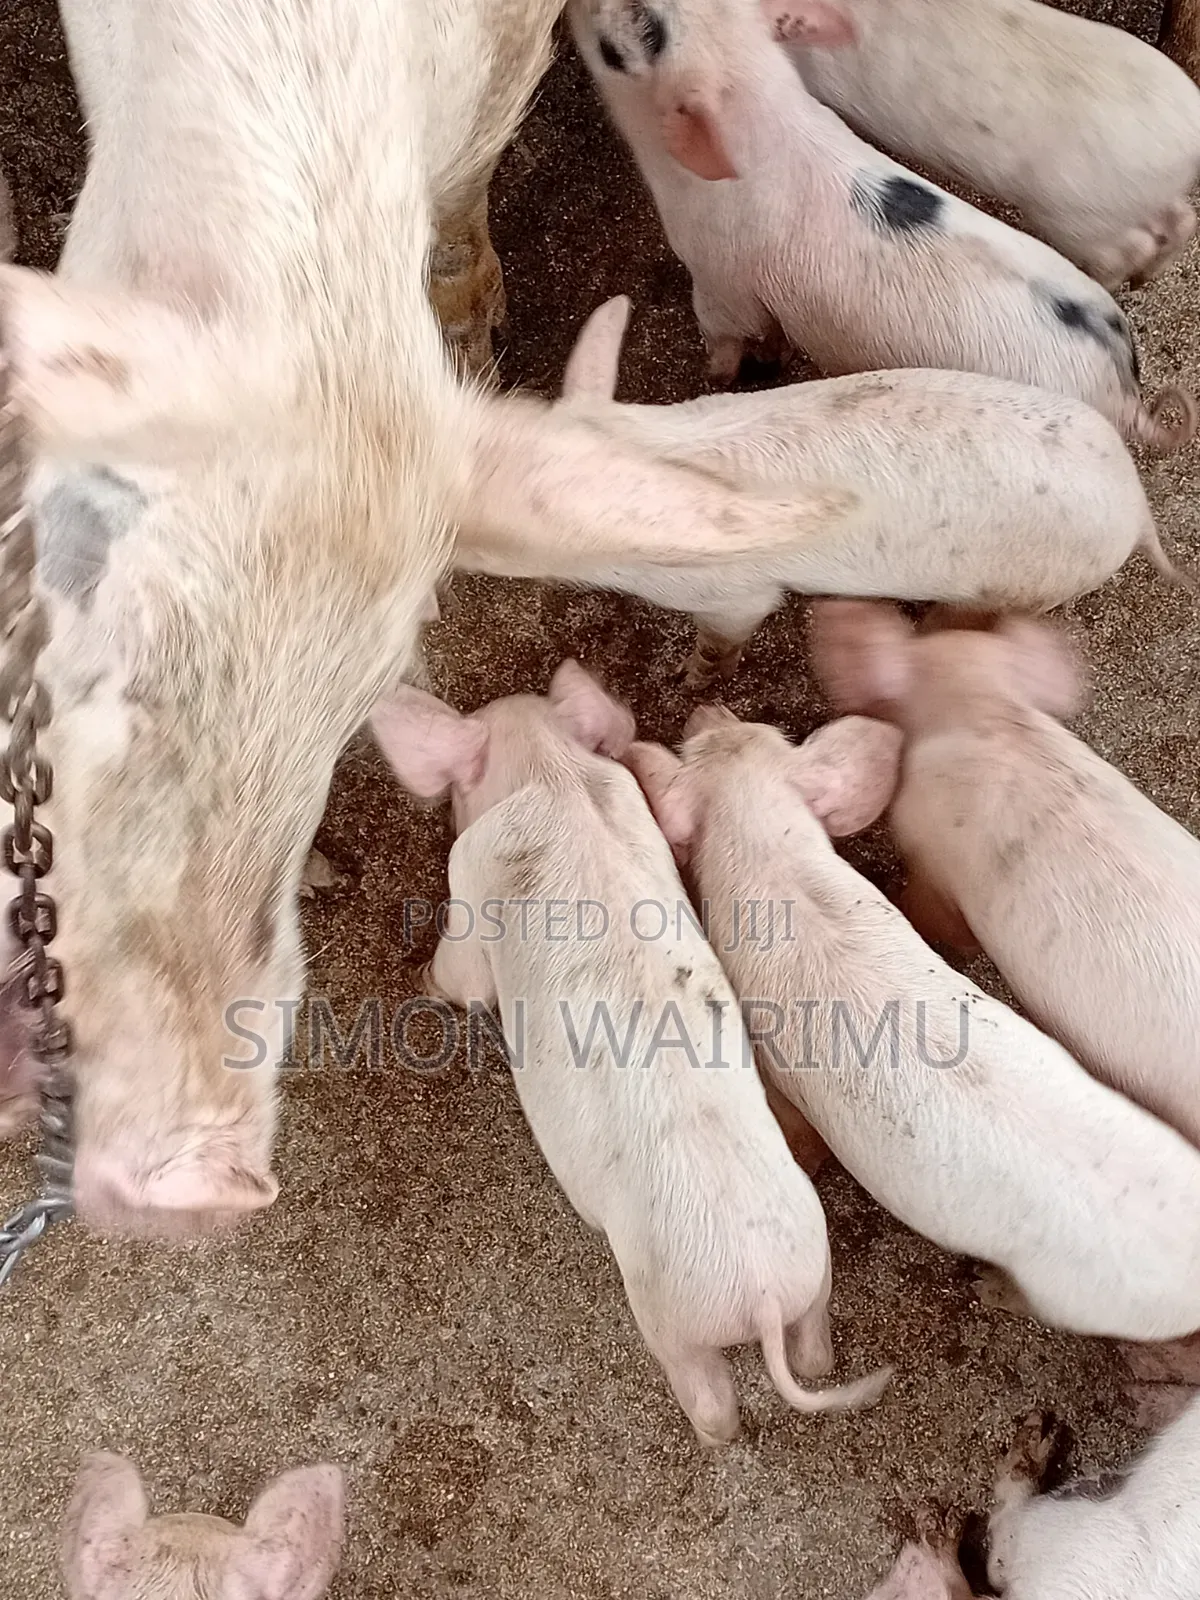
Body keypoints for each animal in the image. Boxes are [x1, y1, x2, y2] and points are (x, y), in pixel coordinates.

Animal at [0, 0, 866, 1237]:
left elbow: (458, 213)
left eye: (355, 704)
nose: (208, 1183)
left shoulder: (494, 64)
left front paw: (477, 347)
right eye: (110, 656)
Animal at [368, 660, 892, 1447]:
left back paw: (711, 1435)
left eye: (458, 792)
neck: (552, 775)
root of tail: (762, 1295)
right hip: (814, 1264)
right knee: (817, 1354)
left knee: (712, 1400)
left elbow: (463, 977)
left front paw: (420, 981)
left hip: (664, 1314)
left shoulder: (469, 881)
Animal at [456, 291, 1189, 685]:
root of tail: (1137, 508)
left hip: (1027, 585)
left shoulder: (734, 594)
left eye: (494, 532)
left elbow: (727, 634)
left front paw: (691, 678)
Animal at [625, 708, 1200, 1342]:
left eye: (694, 748)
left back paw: (985, 1287)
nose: (710, 712)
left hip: (1075, 1298)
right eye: (760, 731)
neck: (768, 855)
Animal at [780, 0, 1200, 291]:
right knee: (1183, 219)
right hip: (1128, 202)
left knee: (1130, 248)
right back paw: (1145, 279)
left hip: (1077, 216)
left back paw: (1110, 283)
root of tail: (1190, 137)